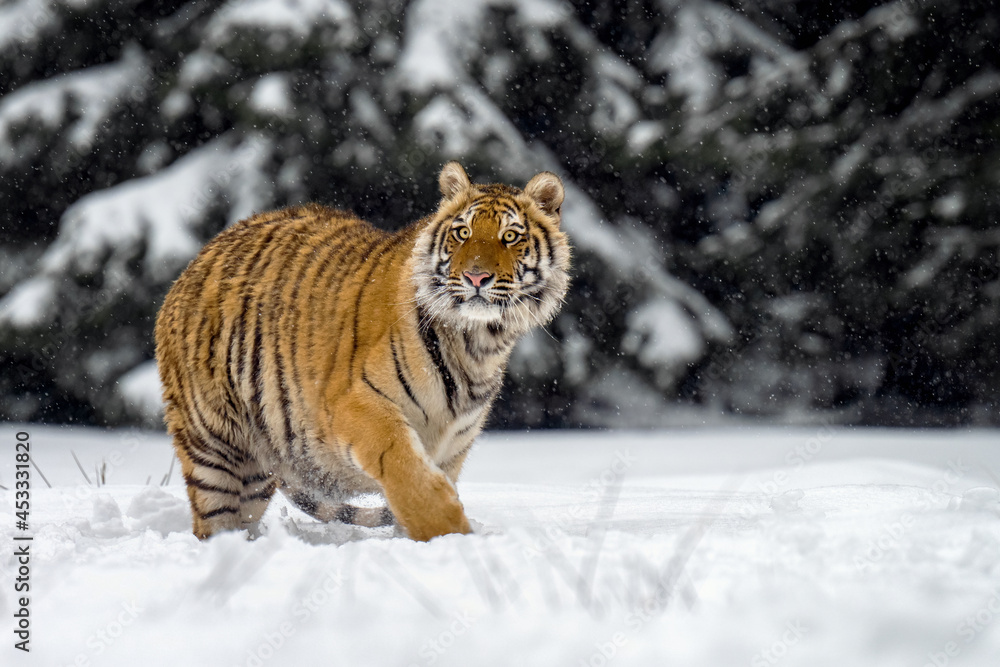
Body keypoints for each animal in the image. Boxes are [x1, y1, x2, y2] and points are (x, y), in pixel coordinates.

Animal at [154, 162, 570, 541]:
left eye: (511, 236)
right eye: (463, 233)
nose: (476, 277)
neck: (478, 342)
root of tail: (194, 263)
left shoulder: (453, 448)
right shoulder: (355, 407)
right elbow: (409, 475)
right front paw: (452, 535)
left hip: (256, 473)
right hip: (213, 446)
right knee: (213, 521)